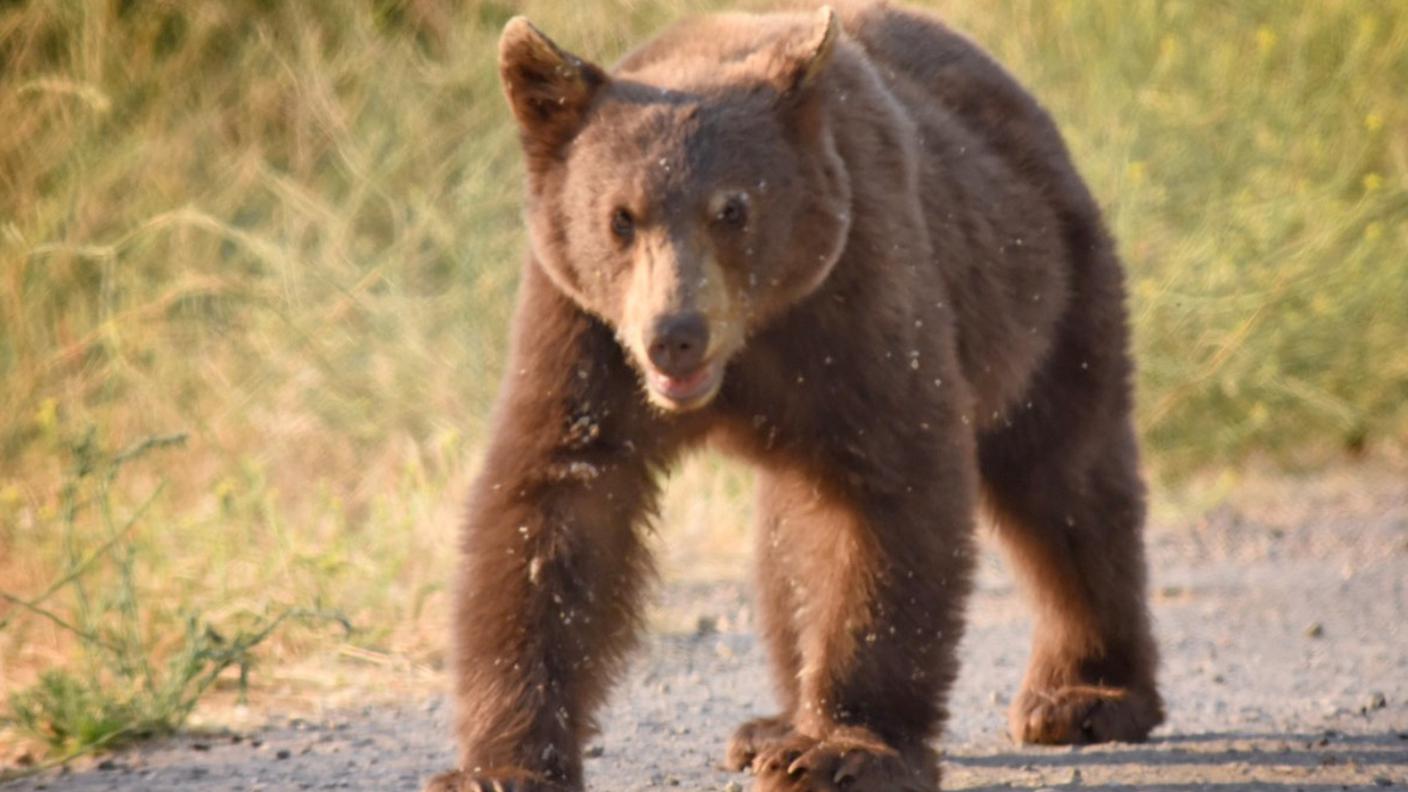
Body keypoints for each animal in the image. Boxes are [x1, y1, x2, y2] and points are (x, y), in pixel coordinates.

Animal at [430, 3, 1165, 783]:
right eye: (620, 216)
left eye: (732, 209)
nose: (674, 336)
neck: (750, 341)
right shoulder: (585, 334)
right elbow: (555, 506)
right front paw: (499, 766)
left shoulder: (859, 297)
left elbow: (892, 490)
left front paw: (843, 750)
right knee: (792, 539)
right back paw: (772, 724)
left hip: (1047, 291)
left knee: (1065, 483)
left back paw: (1084, 695)